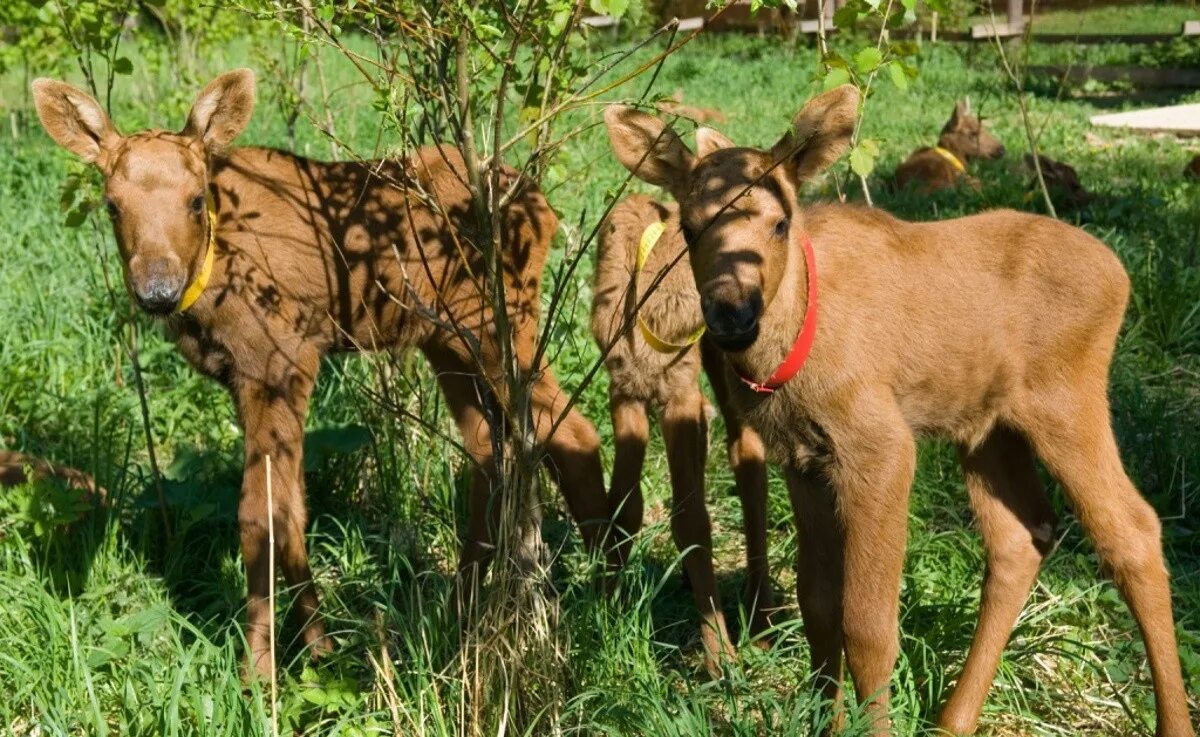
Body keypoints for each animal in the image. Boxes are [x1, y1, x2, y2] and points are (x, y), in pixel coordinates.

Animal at [35, 70, 619, 686]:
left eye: (196, 200)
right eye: (111, 205)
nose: (156, 290)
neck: (212, 276)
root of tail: (542, 204)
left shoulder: (282, 360)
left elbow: (260, 514)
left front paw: (259, 674)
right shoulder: (251, 378)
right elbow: (293, 509)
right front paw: (320, 647)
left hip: (496, 323)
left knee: (569, 431)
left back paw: (606, 597)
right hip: (446, 339)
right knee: (489, 447)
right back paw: (461, 609)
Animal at [595, 192, 772, 676]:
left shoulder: (678, 390)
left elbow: (692, 519)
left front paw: (720, 657)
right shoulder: (625, 392)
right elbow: (623, 508)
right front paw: (603, 609)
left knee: (747, 448)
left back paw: (763, 618)